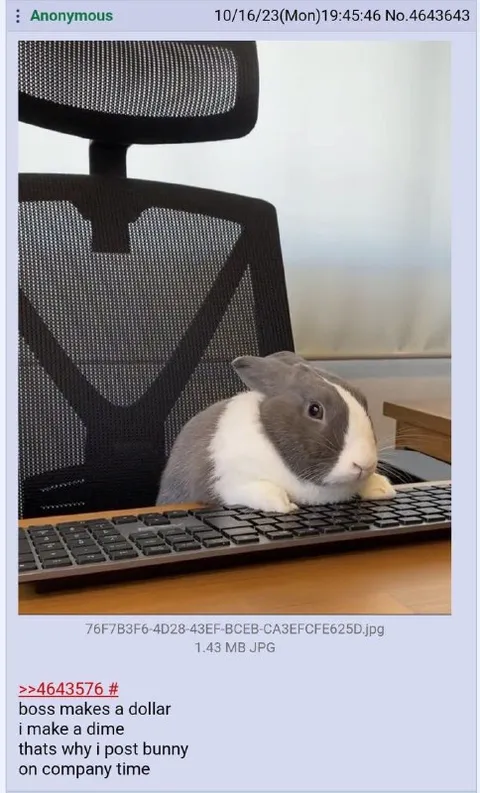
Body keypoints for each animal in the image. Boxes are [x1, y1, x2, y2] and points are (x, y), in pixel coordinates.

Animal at [157, 351, 395, 513]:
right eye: (315, 410)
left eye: (363, 400)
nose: (364, 465)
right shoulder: (229, 482)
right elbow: (262, 490)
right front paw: (284, 504)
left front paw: (383, 488)